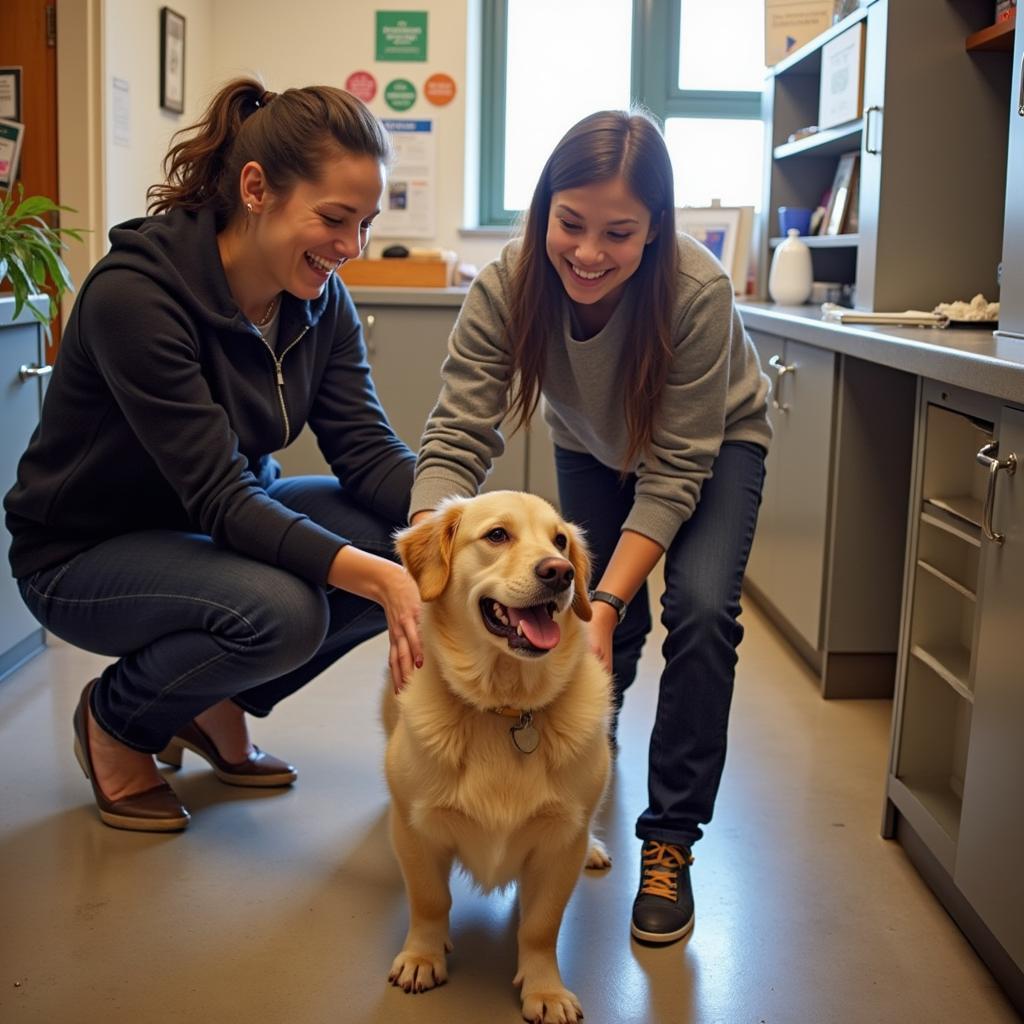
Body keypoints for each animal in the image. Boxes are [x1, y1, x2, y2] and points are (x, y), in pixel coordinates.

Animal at [382, 491, 606, 1019]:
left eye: (560, 540)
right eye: (498, 535)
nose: (561, 572)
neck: (506, 709)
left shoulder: (560, 845)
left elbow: (541, 926)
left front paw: (545, 990)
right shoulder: (416, 830)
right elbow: (429, 900)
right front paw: (422, 956)